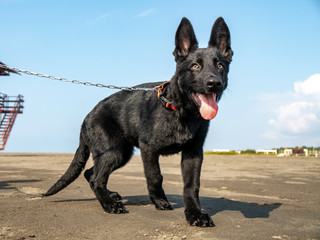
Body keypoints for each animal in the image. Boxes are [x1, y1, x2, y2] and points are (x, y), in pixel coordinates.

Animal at [43, 16, 232, 227]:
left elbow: (192, 185)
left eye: (220, 66)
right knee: (96, 178)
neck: (179, 109)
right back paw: (110, 205)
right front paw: (159, 201)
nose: (214, 83)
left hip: (121, 153)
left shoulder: (193, 153)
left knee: (91, 173)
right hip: (114, 151)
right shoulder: (148, 149)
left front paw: (195, 214)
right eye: (195, 66)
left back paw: (110, 195)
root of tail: (86, 118)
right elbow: (155, 176)